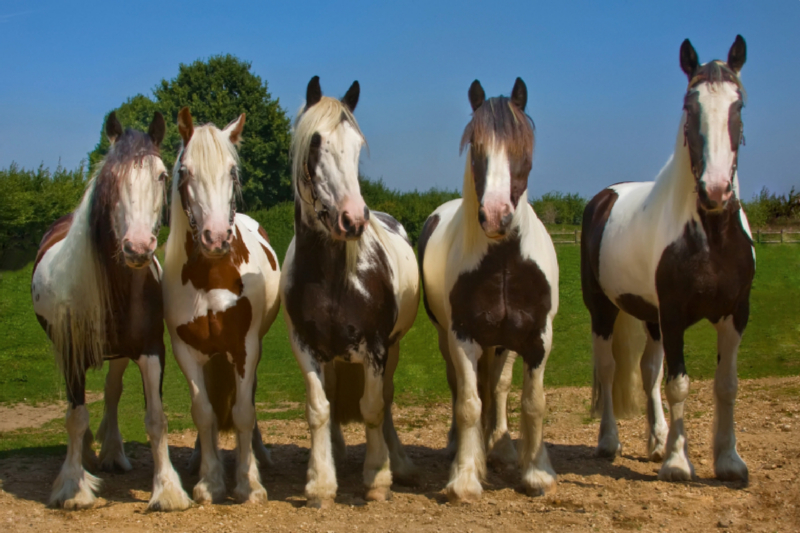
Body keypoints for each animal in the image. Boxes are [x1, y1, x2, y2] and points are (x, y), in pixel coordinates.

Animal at [29, 112, 192, 512]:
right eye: (112, 178)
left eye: (161, 175)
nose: (138, 247)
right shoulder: (71, 354)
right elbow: (75, 416)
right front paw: (73, 487)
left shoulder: (151, 350)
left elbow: (156, 418)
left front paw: (167, 490)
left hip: (118, 354)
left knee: (113, 391)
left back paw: (113, 453)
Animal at [162, 107, 282, 502]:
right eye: (185, 171)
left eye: (232, 171)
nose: (215, 238)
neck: (212, 276)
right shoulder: (185, 350)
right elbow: (204, 413)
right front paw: (210, 480)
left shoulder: (246, 347)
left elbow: (244, 411)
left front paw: (249, 483)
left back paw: (261, 455)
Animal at [280, 76, 422, 508]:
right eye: (315, 144)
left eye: (358, 146)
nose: (353, 219)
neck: (333, 278)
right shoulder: (305, 346)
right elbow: (318, 409)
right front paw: (320, 483)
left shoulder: (376, 348)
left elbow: (373, 408)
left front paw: (377, 477)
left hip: (394, 348)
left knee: (386, 401)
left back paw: (400, 464)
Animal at [422, 77, 560, 500]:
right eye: (477, 148)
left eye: (522, 148)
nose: (496, 215)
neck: (503, 263)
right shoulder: (463, 336)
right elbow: (468, 403)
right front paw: (465, 477)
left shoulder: (537, 338)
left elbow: (533, 403)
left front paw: (537, 472)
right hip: (449, 339)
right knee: (464, 389)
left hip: (504, 344)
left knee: (498, 388)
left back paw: (501, 446)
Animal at [580, 35, 752, 480]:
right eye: (690, 106)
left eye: (738, 105)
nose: (715, 190)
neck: (709, 237)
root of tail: (605, 196)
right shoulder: (674, 315)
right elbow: (679, 385)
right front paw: (678, 462)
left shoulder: (735, 315)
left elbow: (726, 385)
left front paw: (728, 460)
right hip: (604, 310)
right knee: (610, 369)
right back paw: (610, 441)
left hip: (651, 318)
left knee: (648, 371)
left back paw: (656, 441)